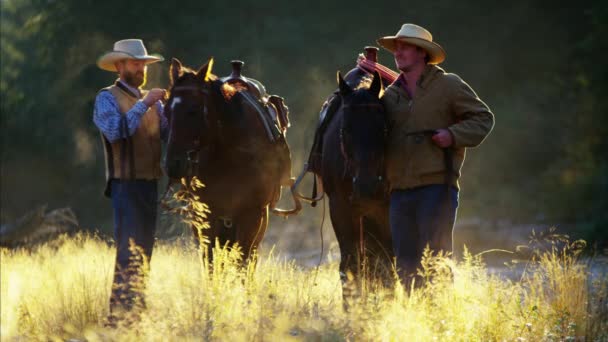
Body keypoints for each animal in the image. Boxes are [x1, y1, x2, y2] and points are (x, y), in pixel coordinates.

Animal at [165, 58, 300, 262]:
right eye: (166, 110)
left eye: (194, 110)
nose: (173, 164)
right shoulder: (205, 215)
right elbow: (210, 260)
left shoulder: (251, 215)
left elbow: (241, 259)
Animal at [324, 70, 394, 296]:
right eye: (345, 129)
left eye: (383, 129)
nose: (366, 187)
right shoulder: (340, 208)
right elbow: (350, 264)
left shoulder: (385, 210)